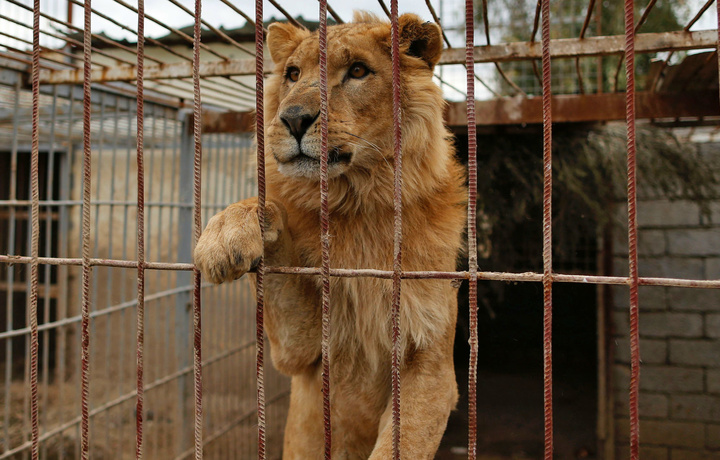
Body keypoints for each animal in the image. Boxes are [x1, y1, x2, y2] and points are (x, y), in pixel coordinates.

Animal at [194, 11, 466, 460]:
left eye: (357, 71)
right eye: (292, 74)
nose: (293, 118)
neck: (357, 203)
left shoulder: (434, 365)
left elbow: (403, 442)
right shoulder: (302, 352)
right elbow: (268, 207)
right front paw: (224, 235)